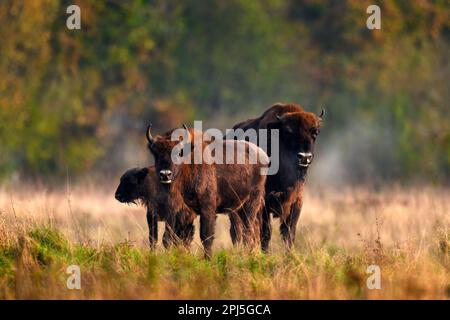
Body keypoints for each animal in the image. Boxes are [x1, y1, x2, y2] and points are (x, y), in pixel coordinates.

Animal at [146, 125, 268, 258]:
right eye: (156, 153)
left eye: (178, 153)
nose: (165, 174)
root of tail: (263, 156)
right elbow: (171, 236)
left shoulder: (207, 208)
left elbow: (206, 236)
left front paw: (208, 259)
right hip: (240, 208)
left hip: (251, 204)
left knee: (248, 230)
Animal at [232, 104, 324, 251]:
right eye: (289, 132)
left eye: (315, 132)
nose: (304, 157)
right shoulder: (264, 202)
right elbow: (266, 233)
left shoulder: (296, 201)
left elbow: (289, 233)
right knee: (238, 230)